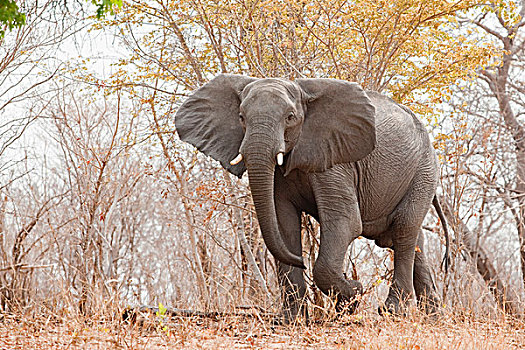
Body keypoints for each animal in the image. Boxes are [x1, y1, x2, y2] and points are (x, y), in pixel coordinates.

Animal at [175, 74, 446, 322]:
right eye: (241, 117)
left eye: (290, 117)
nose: (302, 262)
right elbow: (283, 225)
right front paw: (293, 319)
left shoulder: (335, 158)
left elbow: (346, 222)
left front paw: (352, 296)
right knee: (408, 238)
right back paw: (434, 316)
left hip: (424, 171)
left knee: (403, 229)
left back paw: (393, 312)